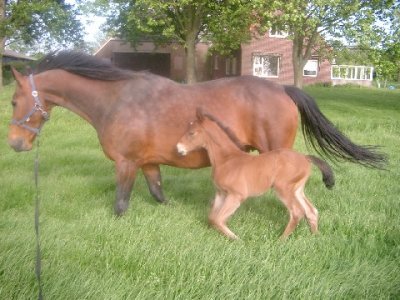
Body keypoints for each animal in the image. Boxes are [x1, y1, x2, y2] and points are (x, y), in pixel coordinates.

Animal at [7, 51, 384, 216]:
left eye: (12, 100)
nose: (15, 143)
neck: (118, 98)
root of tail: (283, 89)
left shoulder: (126, 163)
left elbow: (121, 204)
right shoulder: (147, 163)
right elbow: (158, 193)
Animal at [177, 109, 336, 239]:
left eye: (191, 133)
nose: (178, 148)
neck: (227, 159)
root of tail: (305, 158)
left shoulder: (236, 195)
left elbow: (218, 219)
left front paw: (236, 239)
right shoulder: (221, 193)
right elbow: (212, 218)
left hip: (283, 188)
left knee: (297, 212)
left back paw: (281, 240)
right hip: (297, 190)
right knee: (311, 211)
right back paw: (315, 237)